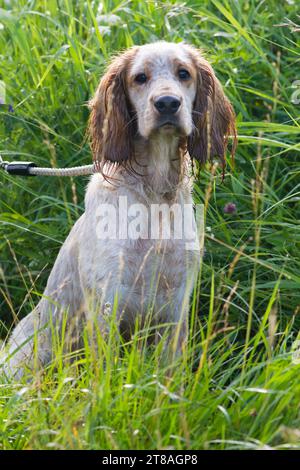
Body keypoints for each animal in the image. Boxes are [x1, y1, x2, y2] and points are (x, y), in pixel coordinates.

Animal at [2, 41, 237, 378]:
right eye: (140, 77)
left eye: (184, 73)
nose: (168, 103)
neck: (154, 194)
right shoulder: (107, 304)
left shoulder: (176, 307)